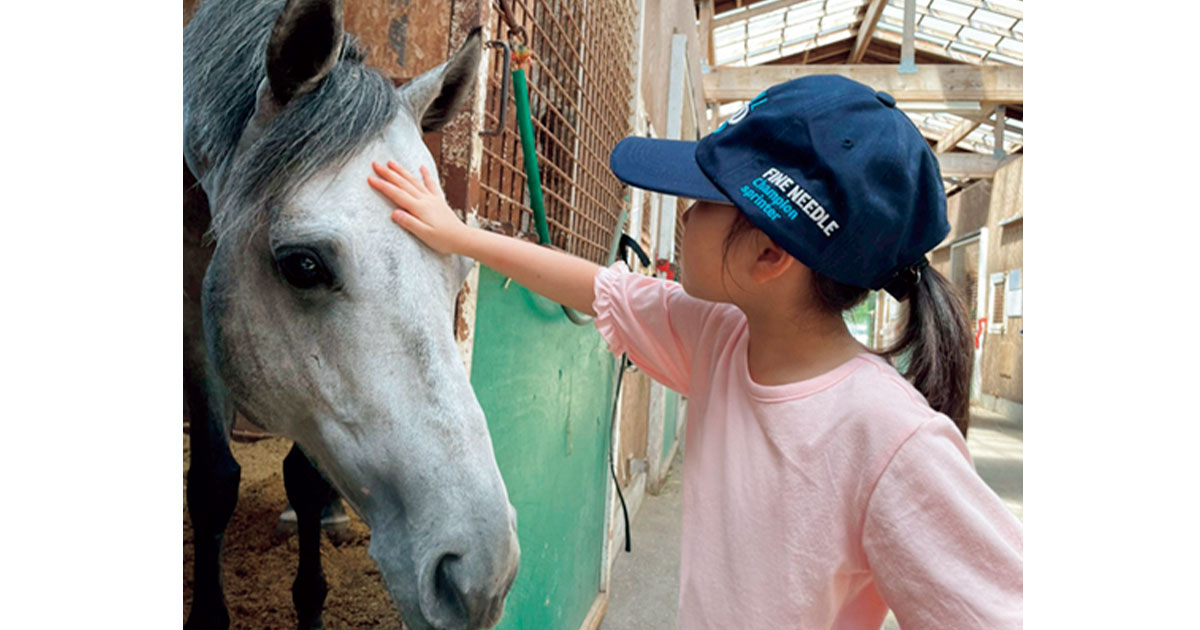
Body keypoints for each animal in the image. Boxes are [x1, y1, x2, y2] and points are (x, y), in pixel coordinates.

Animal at [183, 1, 520, 628]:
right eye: (303, 265)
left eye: (461, 268)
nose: (479, 581)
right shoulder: (194, 331)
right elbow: (214, 482)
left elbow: (306, 483)